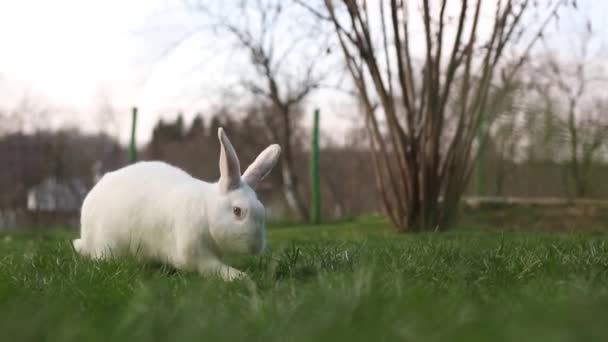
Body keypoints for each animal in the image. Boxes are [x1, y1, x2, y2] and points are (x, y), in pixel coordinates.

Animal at [73, 128, 280, 280]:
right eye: (237, 211)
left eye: (262, 210)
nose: (256, 247)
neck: (207, 211)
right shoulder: (195, 254)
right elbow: (211, 267)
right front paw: (239, 276)